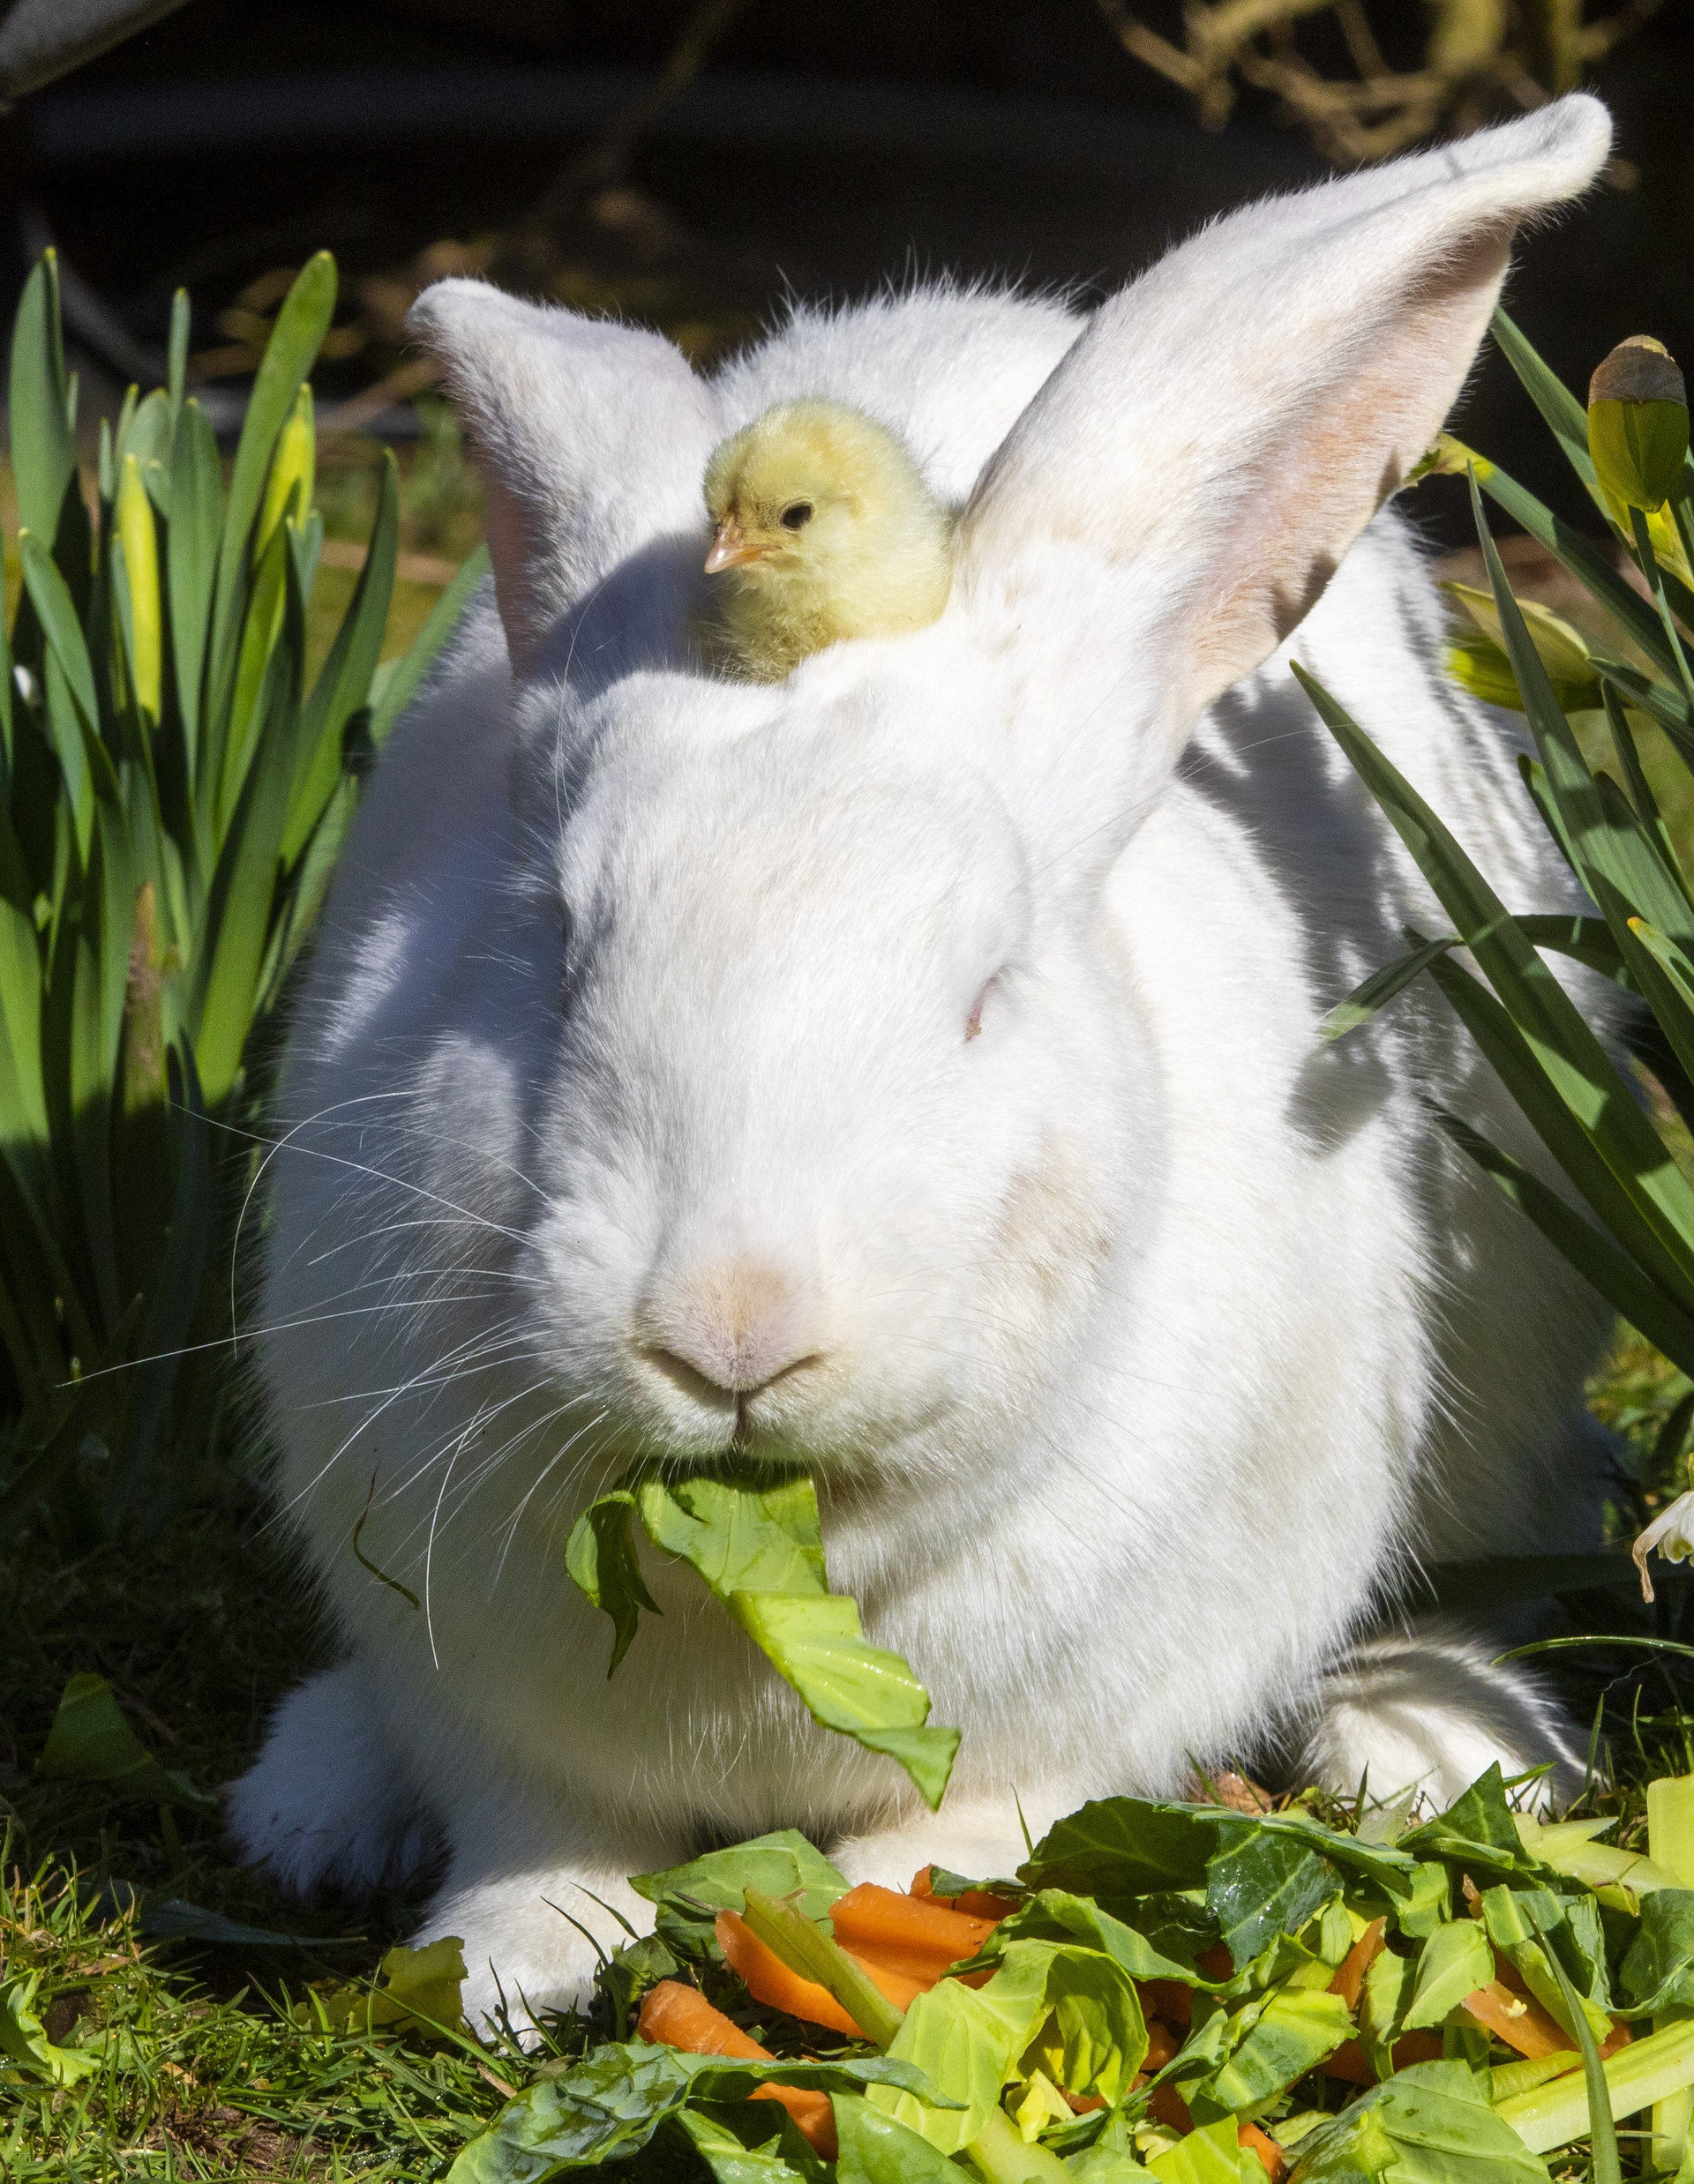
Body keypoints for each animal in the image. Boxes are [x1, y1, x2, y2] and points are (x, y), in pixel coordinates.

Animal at [228, 93, 1617, 2017]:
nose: (731, 1331)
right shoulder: (473, 1678)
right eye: (559, 955)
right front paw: (511, 1960)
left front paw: (872, 1919)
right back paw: (313, 1796)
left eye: (987, 988)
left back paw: (1440, 1740)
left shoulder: (1113, 1694)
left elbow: (987, 1818)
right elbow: (535, 1821)